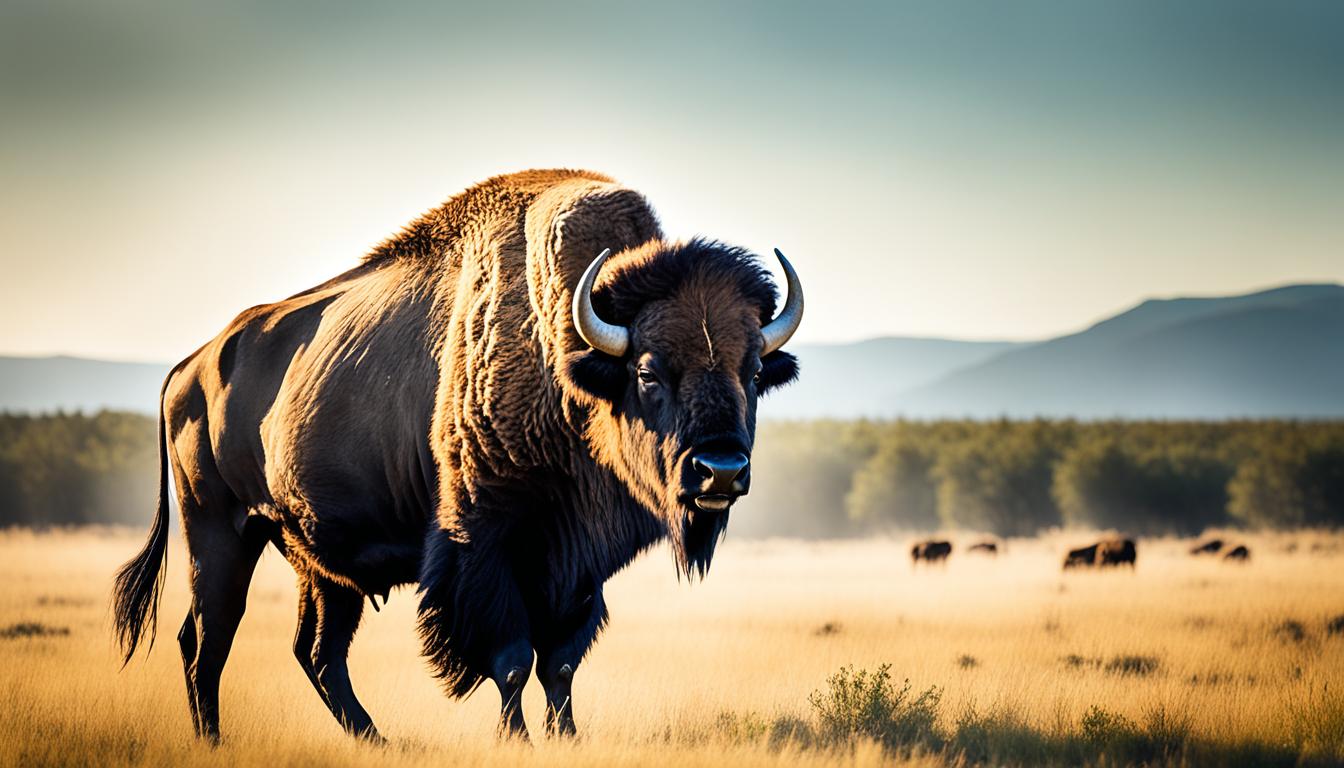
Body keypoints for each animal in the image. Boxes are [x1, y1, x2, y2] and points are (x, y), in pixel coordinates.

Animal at [112, 169, 795, 747]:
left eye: (753, 369)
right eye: (649, 371)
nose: (721, 472)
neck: (567, 360)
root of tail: (190, 366)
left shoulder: (576, 566)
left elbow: (561, 662)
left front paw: (568, 739)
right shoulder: (485, 544)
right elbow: (512, 658)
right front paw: (516, 740)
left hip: (315, 560)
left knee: (316, 652)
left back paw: (376, 741)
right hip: (219, 532)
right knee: (208, 639)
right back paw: (215, 740)